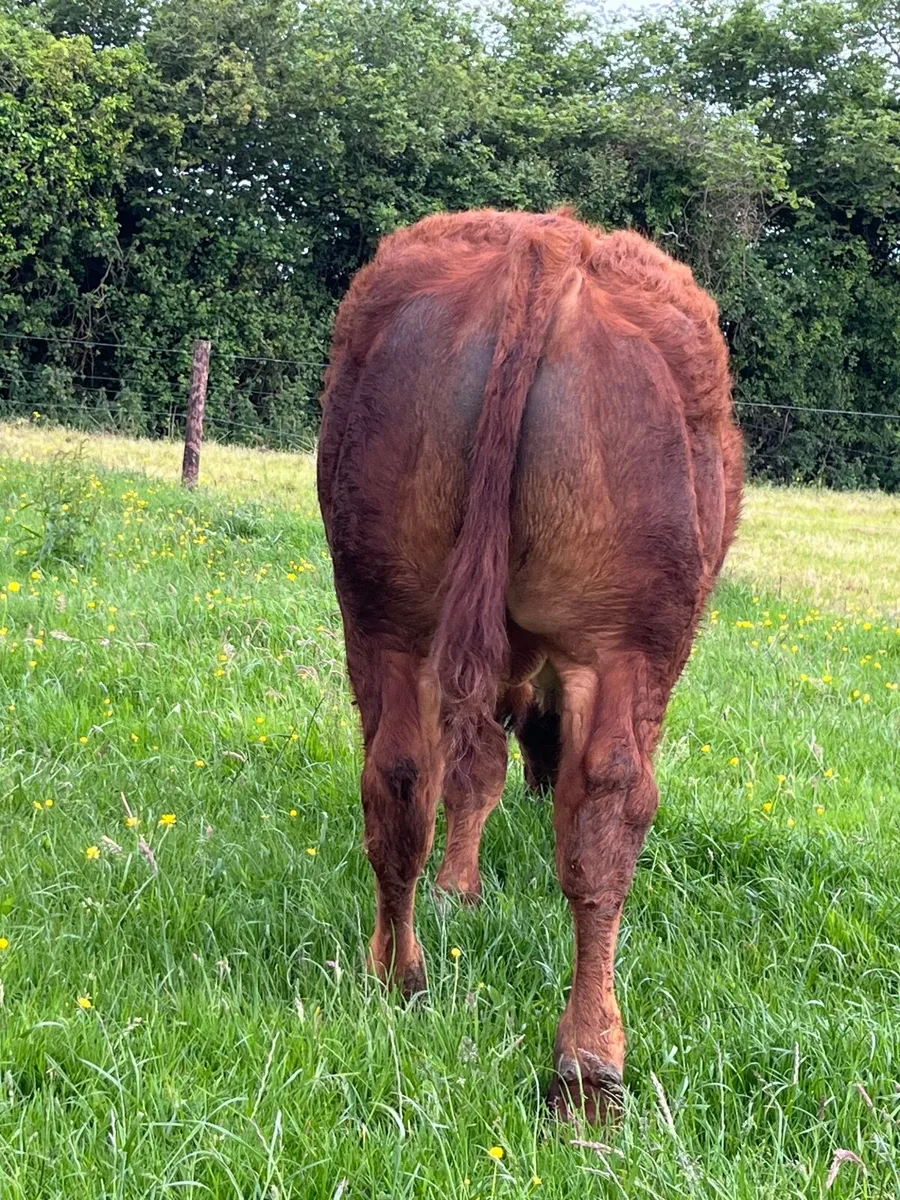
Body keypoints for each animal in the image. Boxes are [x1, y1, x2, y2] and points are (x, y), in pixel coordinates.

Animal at [317, 208, 742, 1122]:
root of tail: (547, 246)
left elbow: (471, 768)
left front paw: (458, 889)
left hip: (386, 620)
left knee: (399, 780)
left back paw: (397, 974)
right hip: (624, 648)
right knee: (608, 817)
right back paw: (590, 1066)